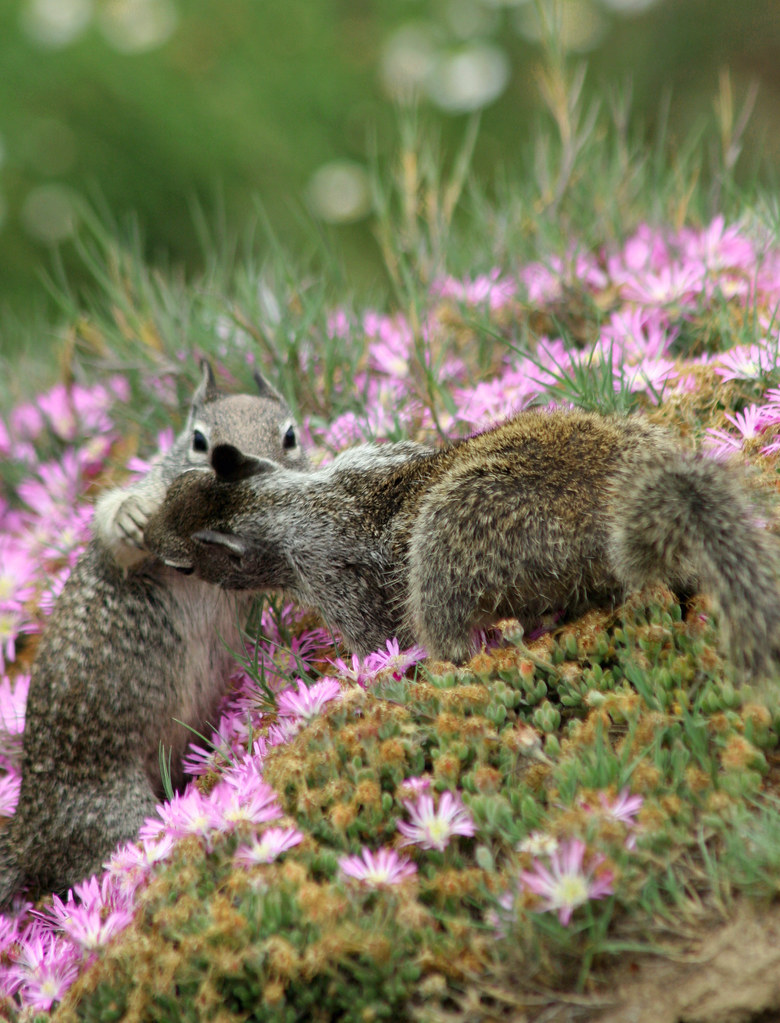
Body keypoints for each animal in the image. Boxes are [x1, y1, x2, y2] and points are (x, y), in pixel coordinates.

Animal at [0, 361, 307, 905]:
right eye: (199, 441)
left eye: (289, 436)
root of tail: (28, 831)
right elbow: (118, 529)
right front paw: (130, 517)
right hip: (116, 815)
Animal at [143, 407, 780, 677]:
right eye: (181, 480)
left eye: (183, 565)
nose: (145, 536)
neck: (291, 504)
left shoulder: (334, 581)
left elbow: (379, 637)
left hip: (449, 538)